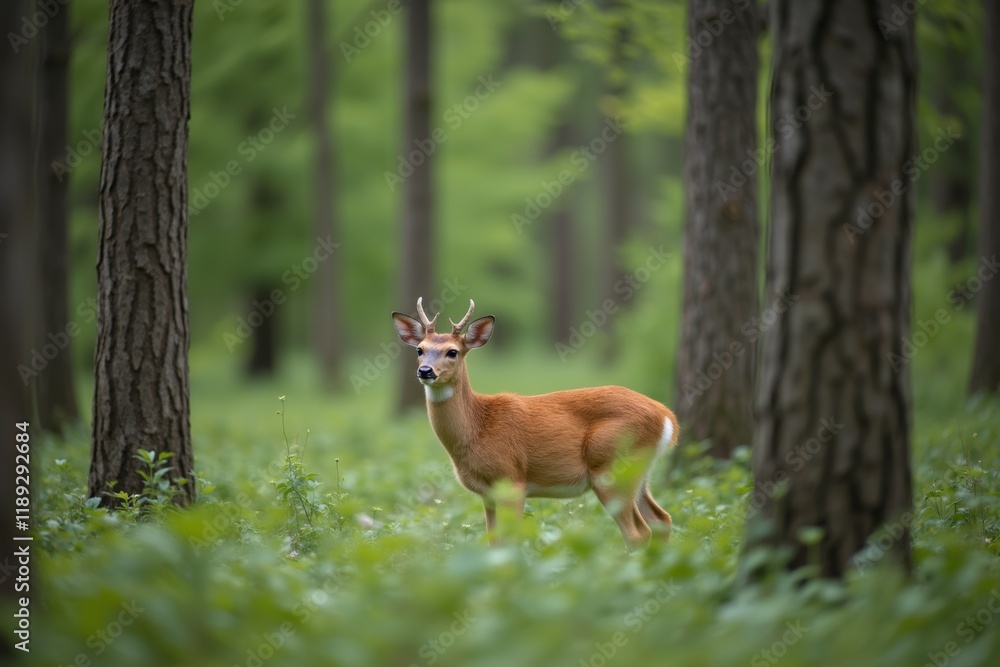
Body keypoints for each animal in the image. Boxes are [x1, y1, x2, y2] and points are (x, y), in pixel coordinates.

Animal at [391, 298, 679, 547]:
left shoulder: (511, 480)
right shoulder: (488, 494)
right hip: (638, 472)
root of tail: (668, 418)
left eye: (452, 352)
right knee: (662, 519)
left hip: (611, 469)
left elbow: (510, 542)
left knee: (638, 533)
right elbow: (493, 543)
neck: (477, 427)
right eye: (420, 350)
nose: (425, 371)